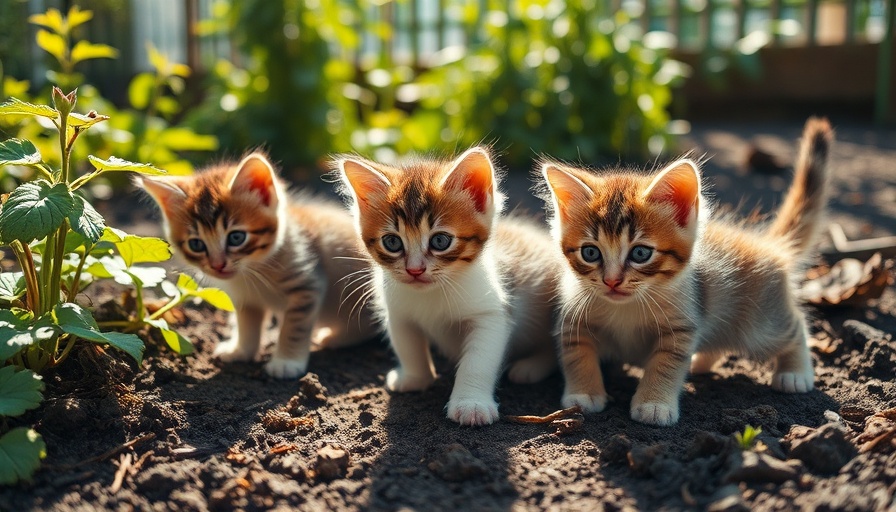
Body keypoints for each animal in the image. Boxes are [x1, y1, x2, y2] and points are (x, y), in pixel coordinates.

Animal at [139, 151, 374, 376]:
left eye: (236, 238)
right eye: (196, 244)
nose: (217, 265)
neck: (254, 269)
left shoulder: (307, 284)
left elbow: (294, 327)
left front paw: (286, 362)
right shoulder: (247, 300)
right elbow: (247, 326)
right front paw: (240, 351)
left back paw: (333, 338)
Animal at [336, 149, 560, 428]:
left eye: (440, 241)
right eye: (392, 242)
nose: (415, 270)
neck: (434, 292)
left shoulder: (491, 314)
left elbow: (478, 360)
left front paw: (471, 404)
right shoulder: (398, 312)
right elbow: (408, 345)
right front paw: (415, 377)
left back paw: (530, 367)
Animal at [540, 118, 832, 426]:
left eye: (640, 253)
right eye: (590, 253)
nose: (612, 281)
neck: (626, 306)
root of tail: (769, 246)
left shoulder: (683, 324)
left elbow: (665, 363)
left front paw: (654, 403)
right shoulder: (573, 318)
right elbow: (576, 354)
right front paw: (583, 393)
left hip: (761, 326)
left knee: (795, 326)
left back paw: (795, 373)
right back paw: (700, 362)